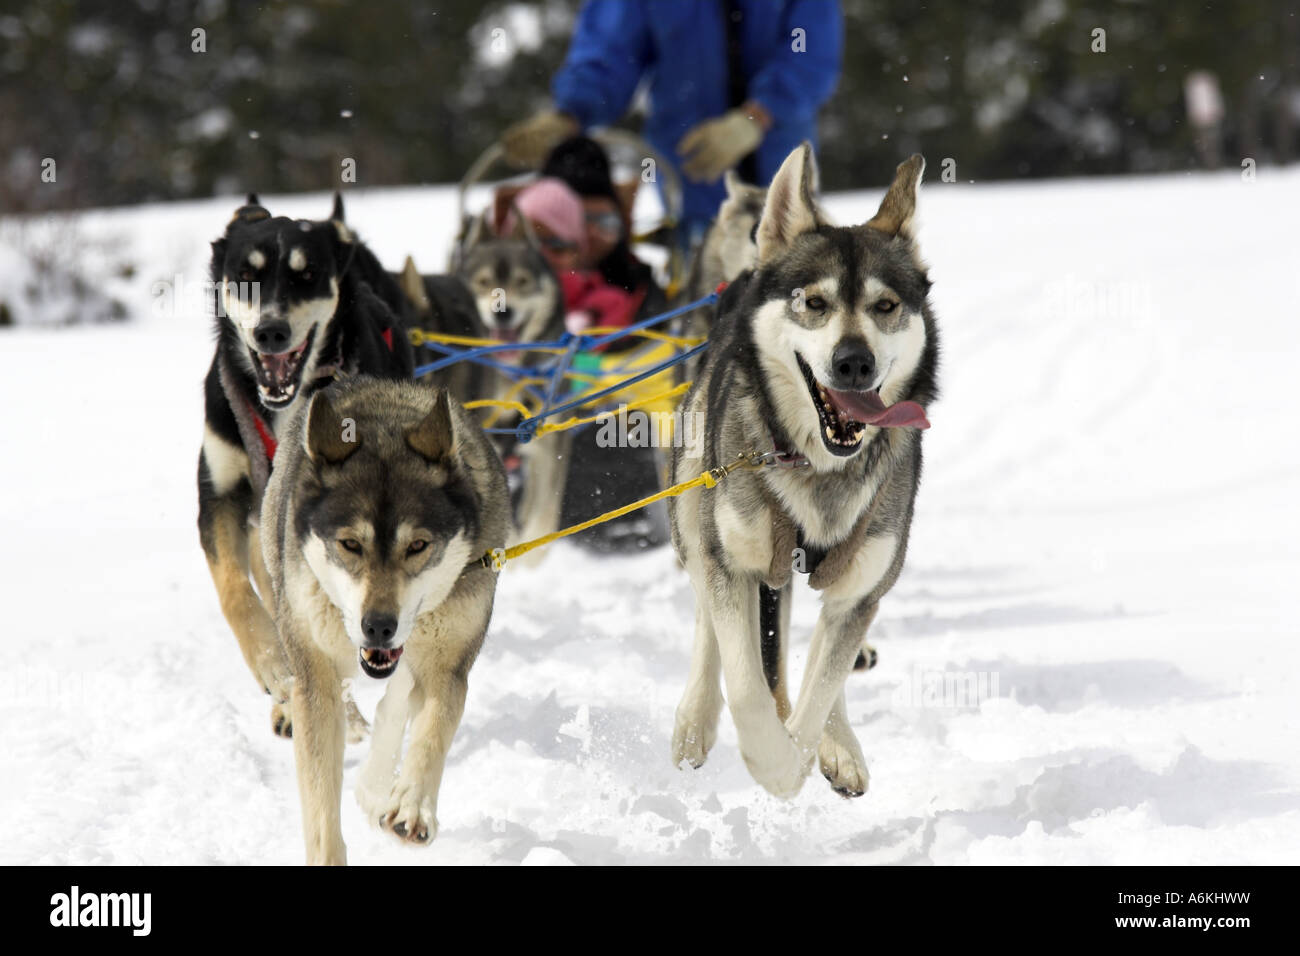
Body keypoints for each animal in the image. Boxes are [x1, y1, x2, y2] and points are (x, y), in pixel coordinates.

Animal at [196, 191, 410, 738]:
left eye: (307, 274)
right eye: (245, 275)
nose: (271, 331)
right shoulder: (220, 494)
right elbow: (235, 592)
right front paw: (274, 667)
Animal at [260, 382, 506, 868]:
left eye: (418, 545)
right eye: (350, 544)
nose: (378, 626)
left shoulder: (447, 664)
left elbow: (431, 732)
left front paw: (411, 806)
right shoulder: (316, 676)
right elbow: (320, 798)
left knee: (395, 704)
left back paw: (377, 791)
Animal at [670, 143, 935, 801]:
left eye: (886, 306)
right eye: (813, 303)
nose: (853, 361)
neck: (819, 466)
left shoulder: (864, 584)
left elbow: (821, 686)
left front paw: (808, 752)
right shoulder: (732, 560)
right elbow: (746, 681)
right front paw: (771, 761)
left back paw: (840, 745)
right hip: (693, 509)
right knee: (709, 625)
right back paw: (695, 721)